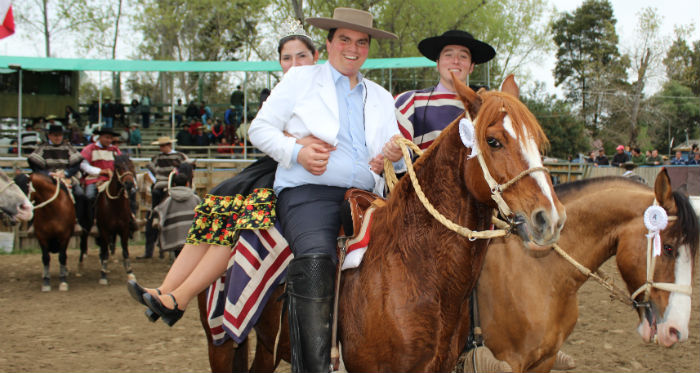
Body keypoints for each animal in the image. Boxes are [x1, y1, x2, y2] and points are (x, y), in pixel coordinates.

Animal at [198, 75, 568, 372]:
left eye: (538, 141)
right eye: (493, 141)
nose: (550, 217)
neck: (413, 265)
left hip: (265, 345)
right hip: (220, 341)